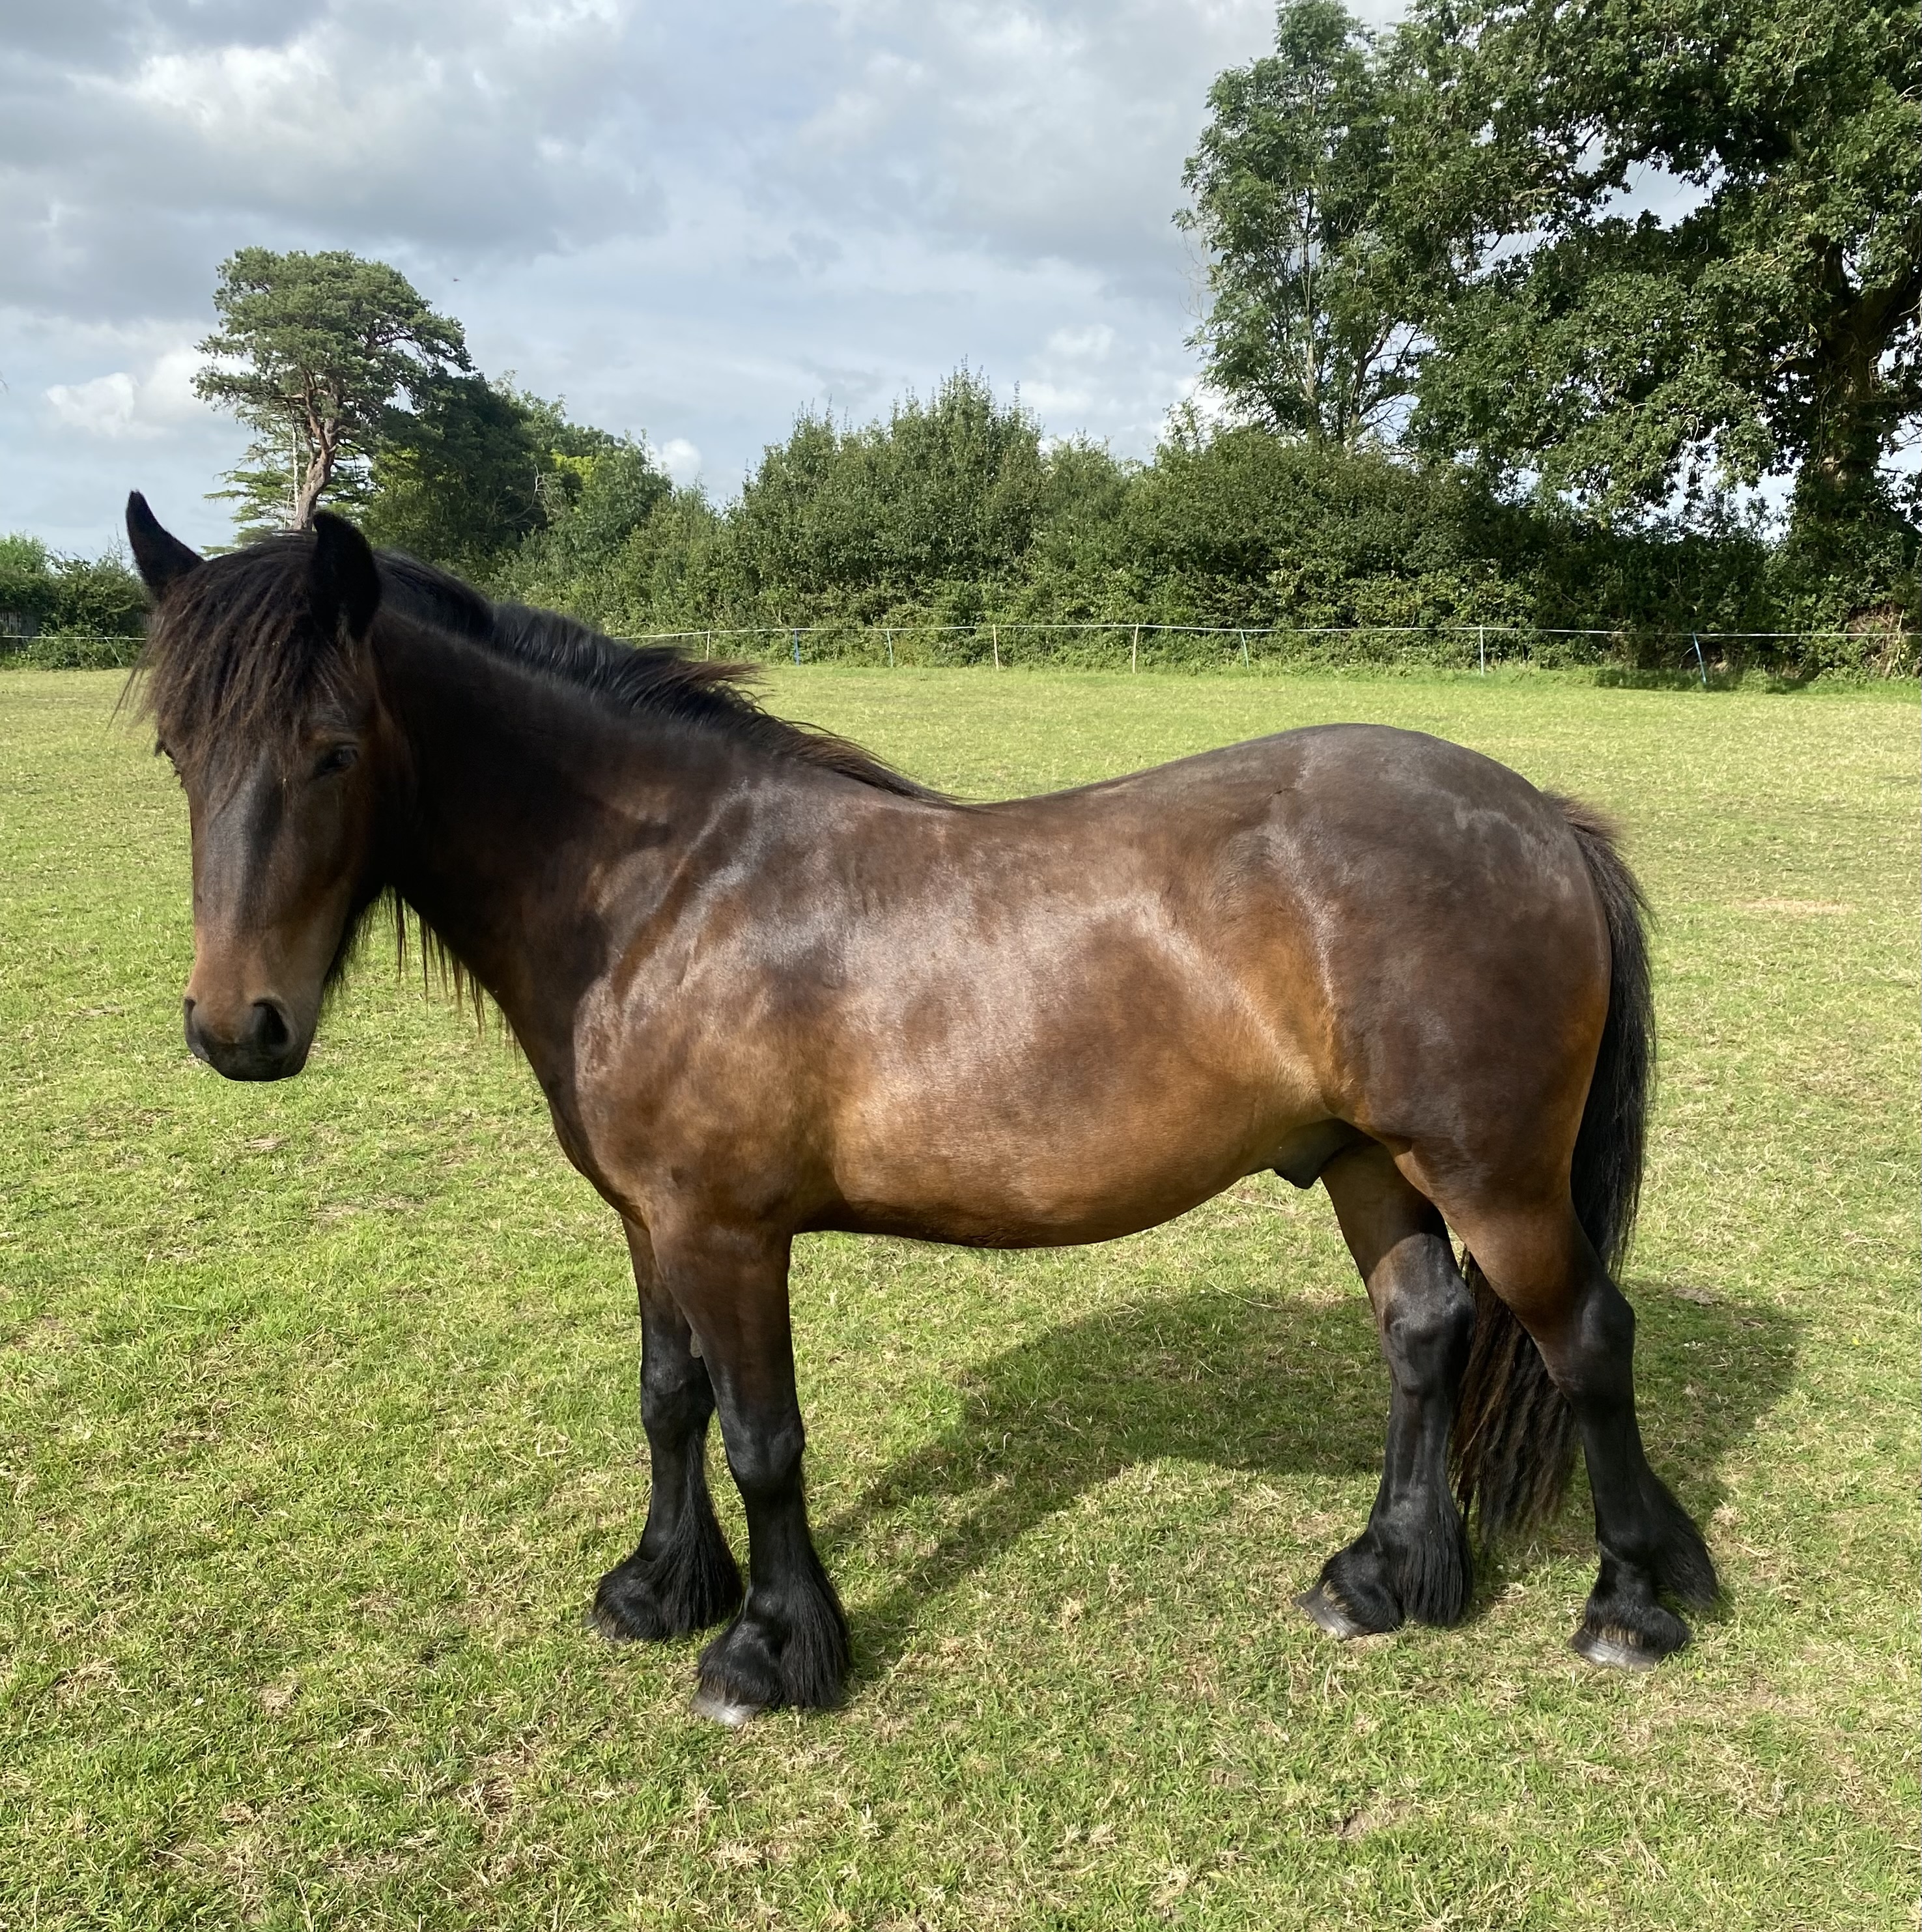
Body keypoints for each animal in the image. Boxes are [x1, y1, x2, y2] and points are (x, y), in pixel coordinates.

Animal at [122, 494, 1717, 1723]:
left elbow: (761, 1436)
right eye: (178, 753)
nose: (237, 1028)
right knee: (1423, 1332)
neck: (665, 893)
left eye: (333, 748)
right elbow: (666, 1398)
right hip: (1367, 1163)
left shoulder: (729, 1234)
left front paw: (765, 1652)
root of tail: (1539, 818)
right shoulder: (651, 1223)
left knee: (1586, 1338)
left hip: (1492, 1175)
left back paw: (1631, 1603)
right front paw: (656, 1588)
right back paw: (1382, 1576)